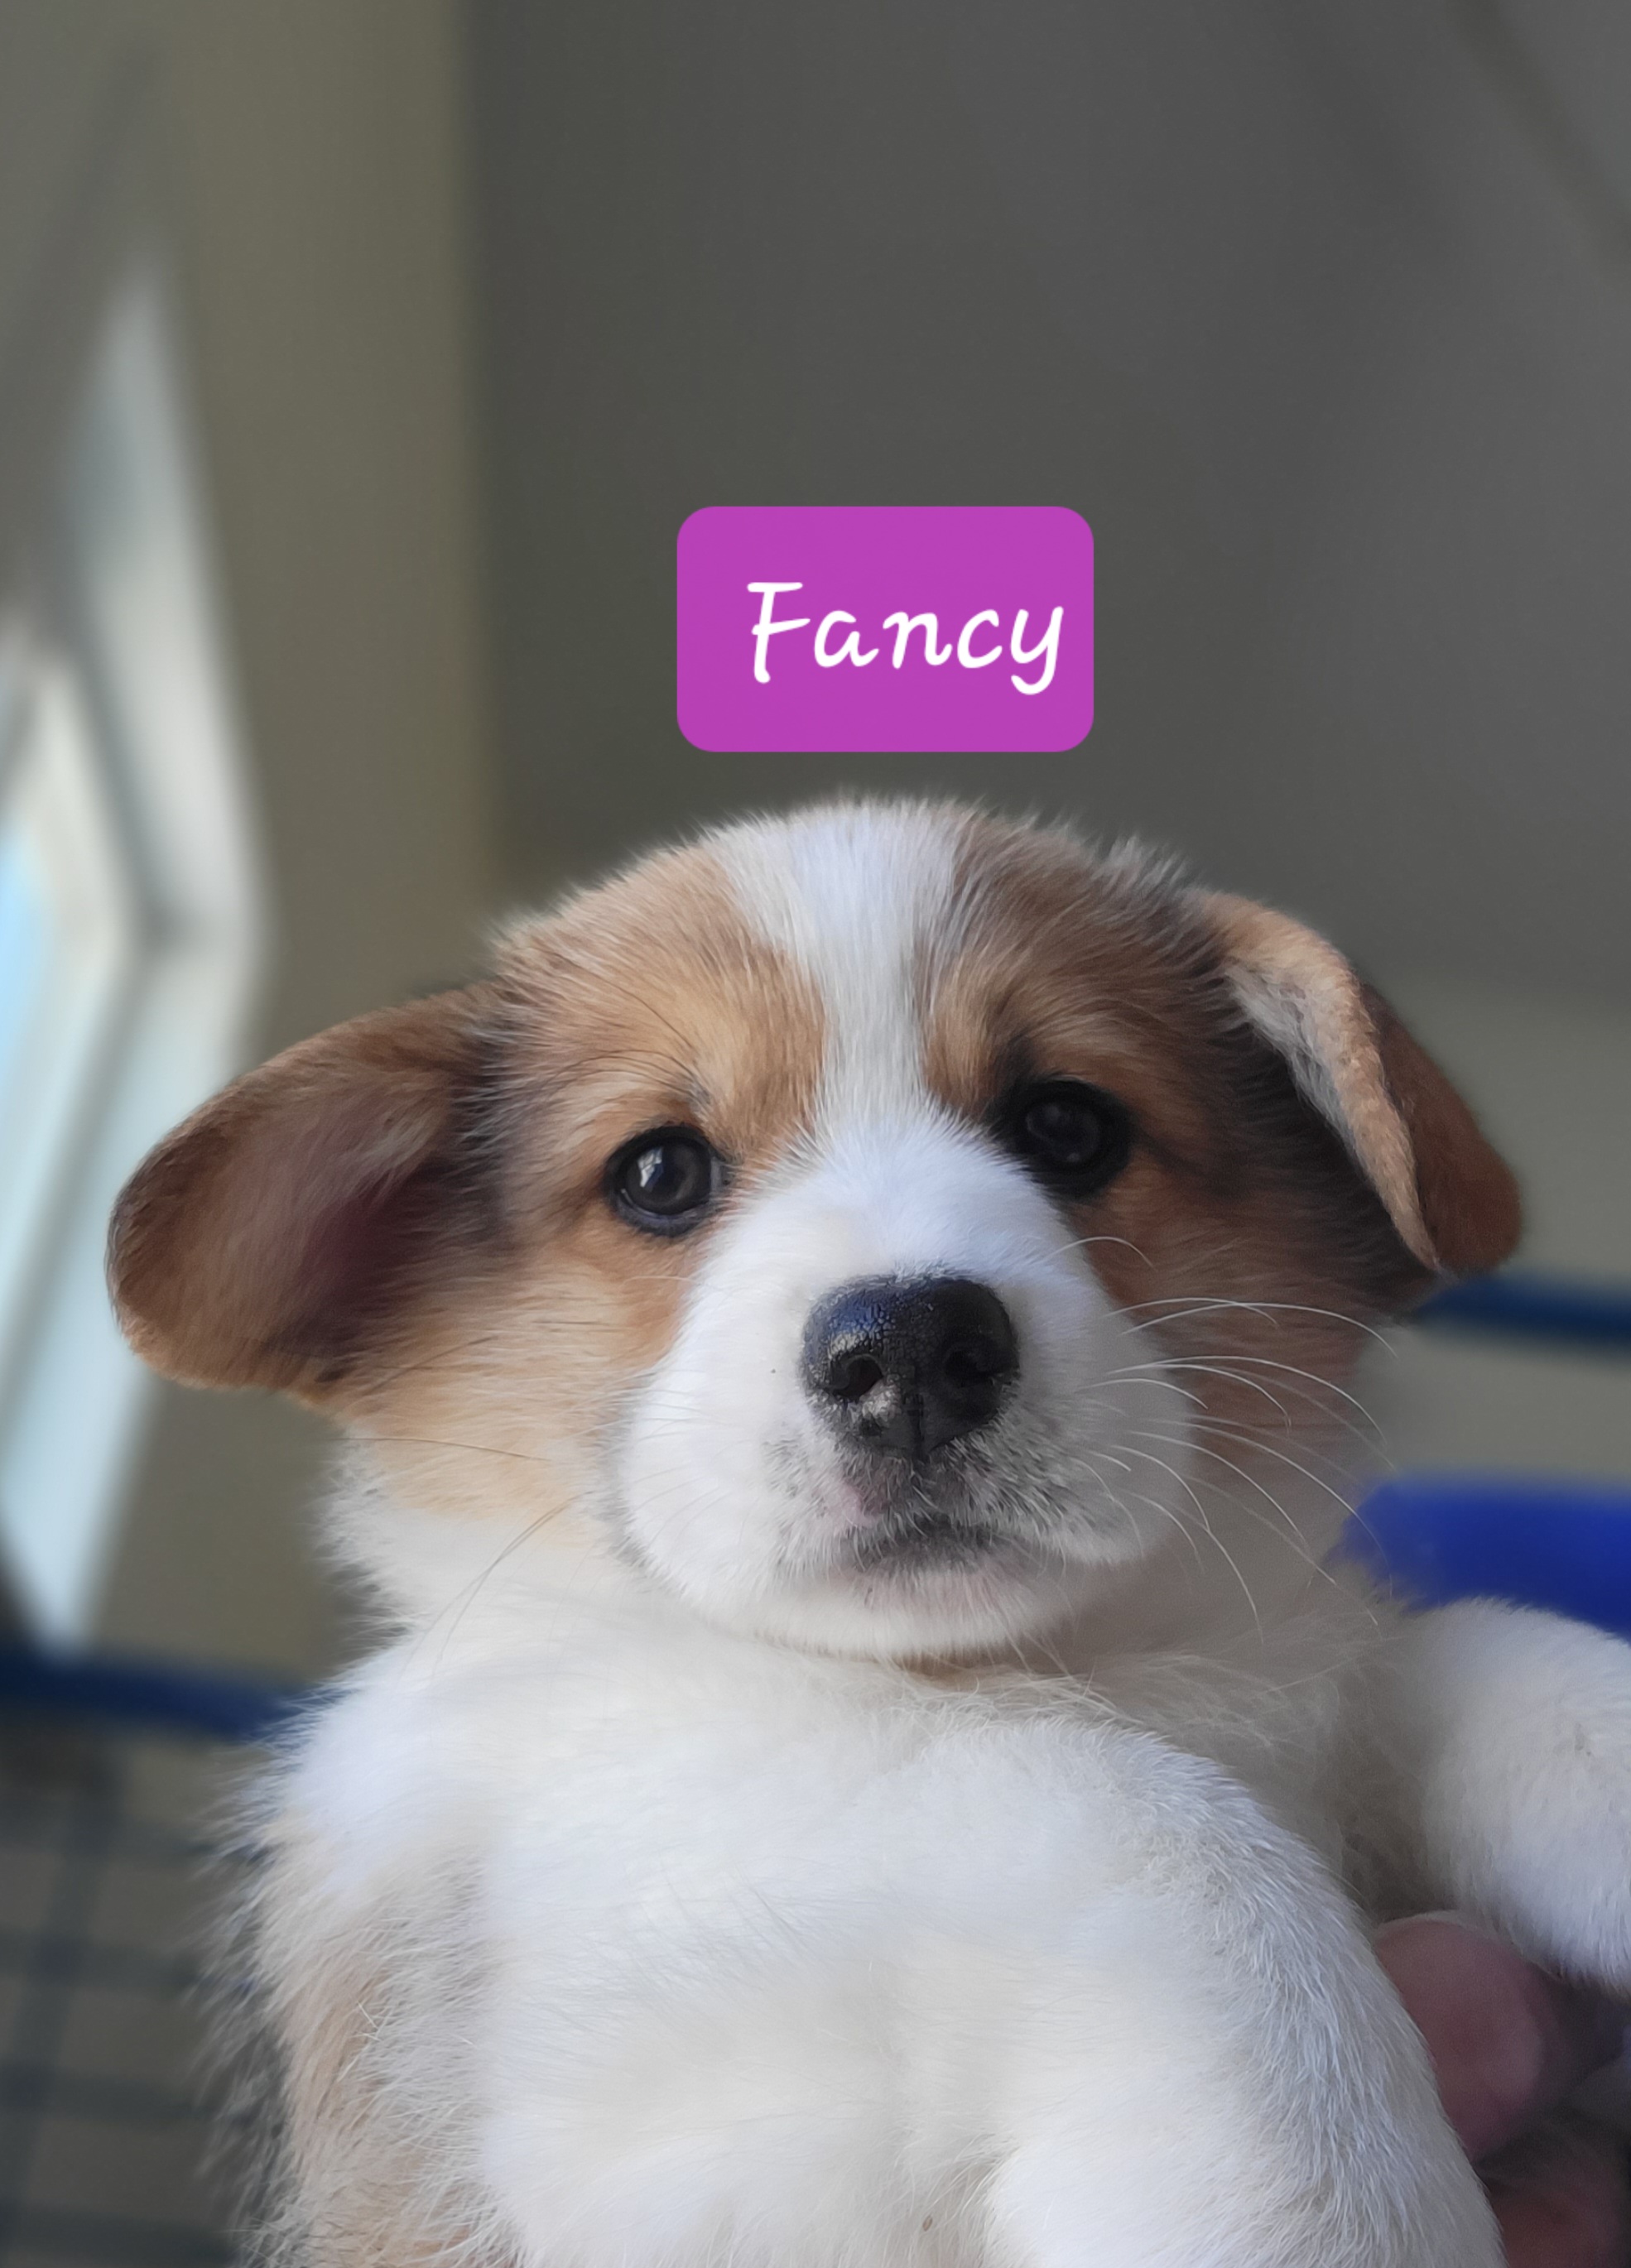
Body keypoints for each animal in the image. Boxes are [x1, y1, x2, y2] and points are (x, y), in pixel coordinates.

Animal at [110, 801, 1631, 2265]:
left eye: (1067, 1125)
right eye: (660, 1173)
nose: (908, 1349)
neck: (988, 1663)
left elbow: (1477, 1664)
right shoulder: (644, 2126)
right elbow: (1117, 1800)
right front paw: (1327, 2201)